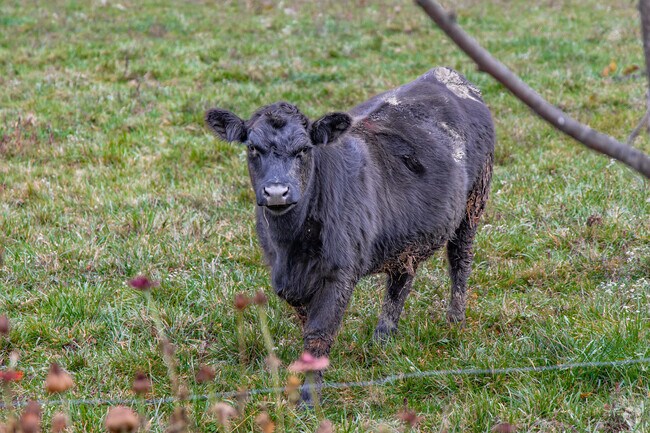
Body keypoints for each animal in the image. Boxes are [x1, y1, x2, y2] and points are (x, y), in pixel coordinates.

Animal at [205, 67, 495, 403]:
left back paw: (455, 322)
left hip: (473, 204)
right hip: (408, 232)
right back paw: (383, 336)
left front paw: (309, 398)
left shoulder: (340, 273)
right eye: (253, 147)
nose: (277, 191)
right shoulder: (284, 276)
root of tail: (444, 74)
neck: (291, 248)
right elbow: (307, 320)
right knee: (401, 280)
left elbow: (319, 330)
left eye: (304, 149)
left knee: (460, 260)